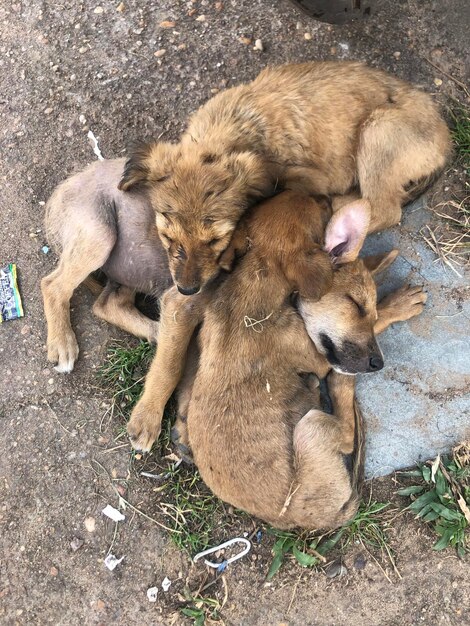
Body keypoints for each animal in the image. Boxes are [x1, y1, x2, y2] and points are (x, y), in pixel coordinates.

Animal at [117, 61, 452, 294]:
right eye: (168, 237)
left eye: (215, 240)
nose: (187, 290)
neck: (234, 128)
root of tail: (445, 138)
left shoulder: (307, 179)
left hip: (378, 130)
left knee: (383, 209)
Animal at [126, 191, 426, 528]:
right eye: (357, 305)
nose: (378, 364)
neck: (259, 274)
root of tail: (300, 520)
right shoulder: (315, 353)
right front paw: (397, 305)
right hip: (312, 427)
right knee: (348, 434)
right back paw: (340, 384)